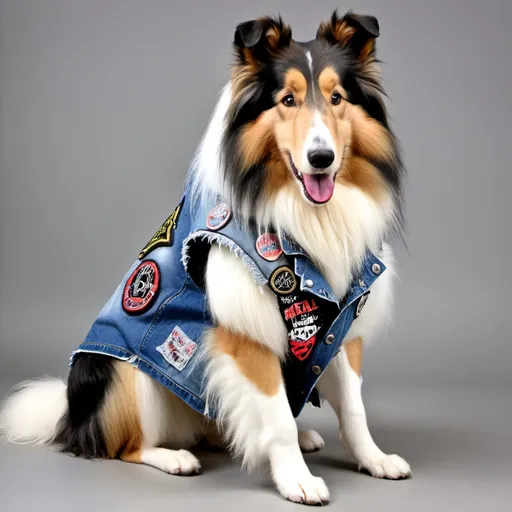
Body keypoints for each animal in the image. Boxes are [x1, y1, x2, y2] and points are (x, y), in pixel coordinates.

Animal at [0, 11, 408, 504]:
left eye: (336, 98)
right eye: (287, 100)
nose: (321, 158)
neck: (305, 214)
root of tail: (72, 418)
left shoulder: (343, 325)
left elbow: (353, 409)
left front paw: (374, 459)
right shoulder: (246, 334)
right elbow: (275, 418)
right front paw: (297, 480)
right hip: (123, 374)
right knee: (125, 446)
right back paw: (173, 457)